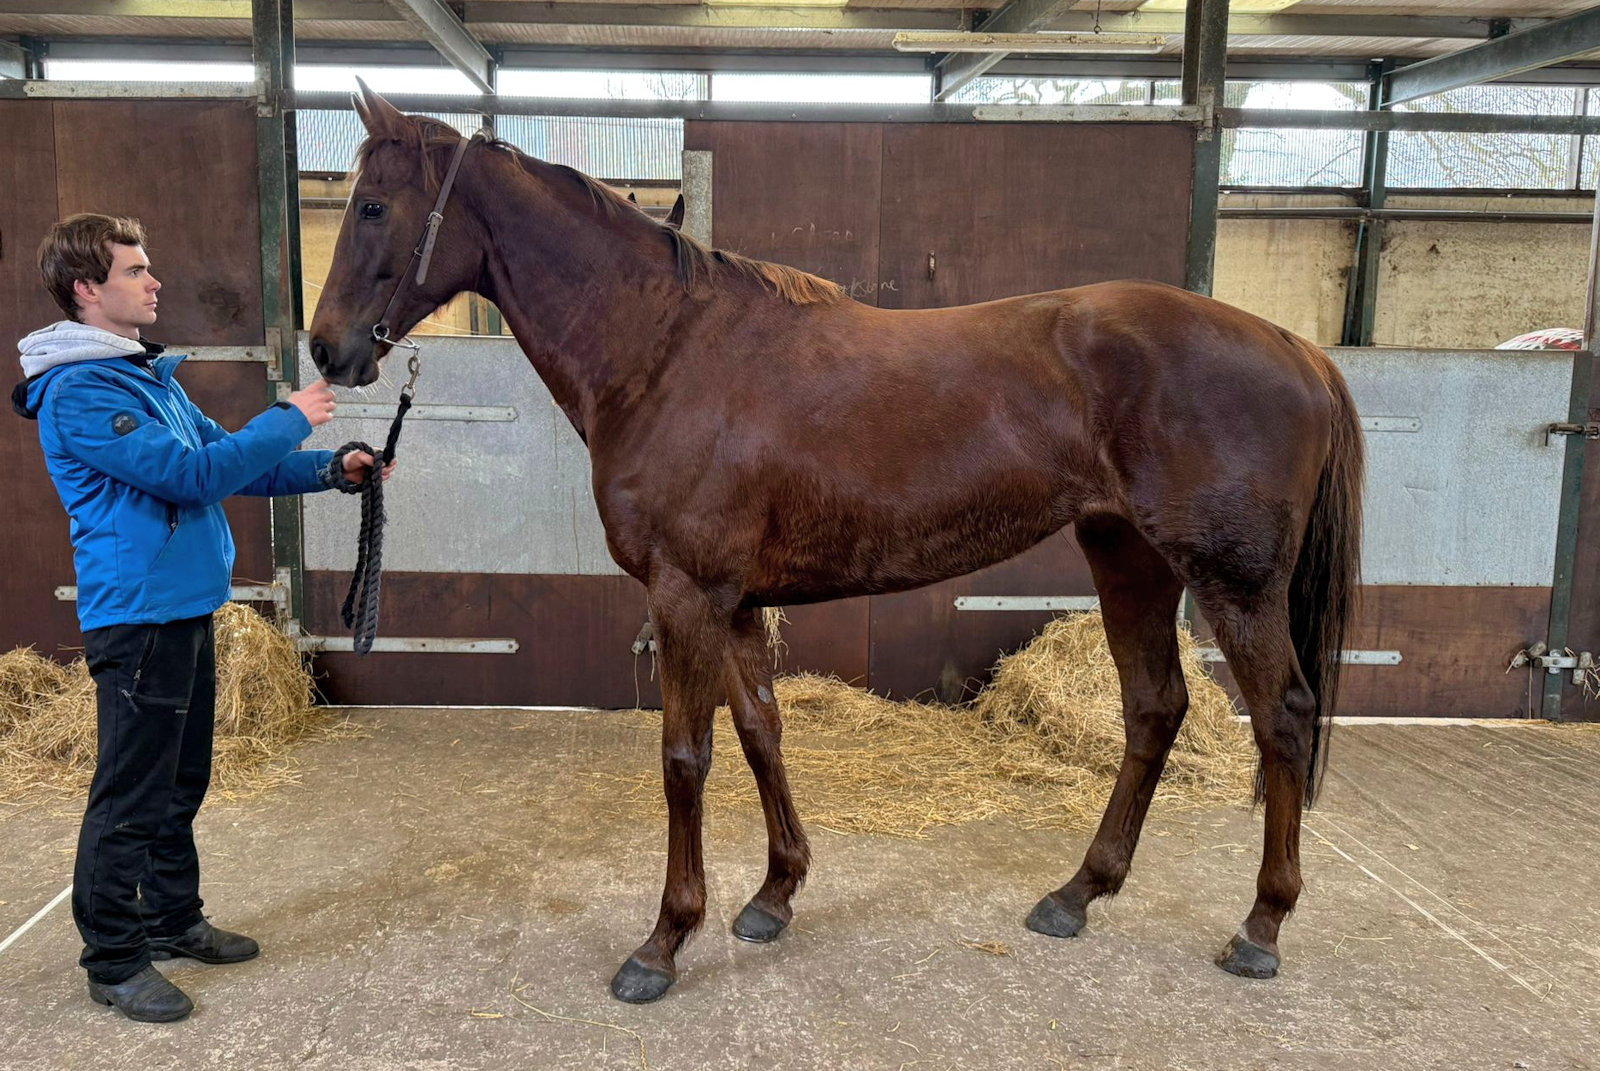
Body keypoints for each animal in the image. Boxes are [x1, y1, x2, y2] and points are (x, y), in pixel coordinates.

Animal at [309, 85, 1364, 1004]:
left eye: (372, 205)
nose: (326, 350)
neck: (667, 350)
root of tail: (1295, 346)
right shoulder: (734, 601)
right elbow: (760, 731)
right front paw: (773, 896)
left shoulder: (685, 594)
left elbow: (685, 756)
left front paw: (663, 942)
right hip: (1127, 558)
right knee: (1154, 707)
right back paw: (1076, 894)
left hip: (1232, 583)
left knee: (1281, 717)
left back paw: (1260, 927)